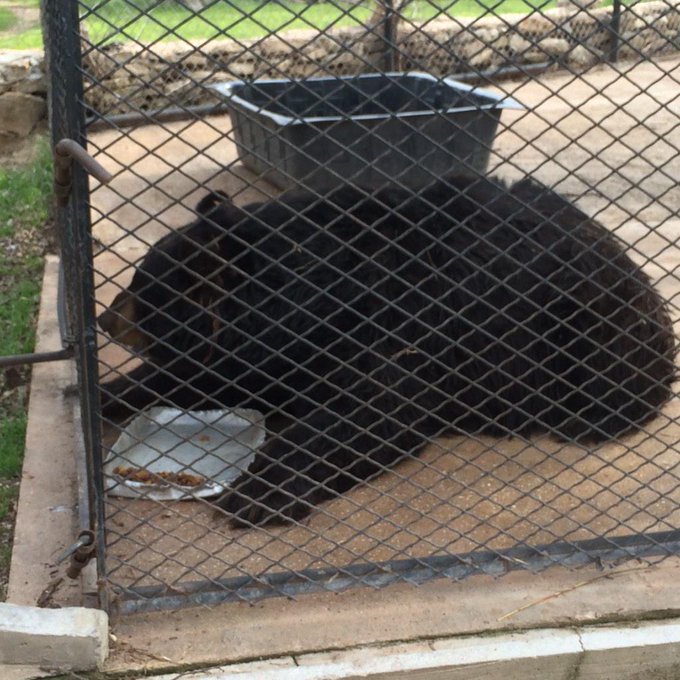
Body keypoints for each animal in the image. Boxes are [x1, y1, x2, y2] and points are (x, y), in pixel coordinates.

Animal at [98, 175, 677, 527]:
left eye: (138, 289)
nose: (105, 319)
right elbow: (222, 375)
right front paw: (108, 393)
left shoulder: (414, 321)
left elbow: (378, 407)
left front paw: (257, 494)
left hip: (584, 338)